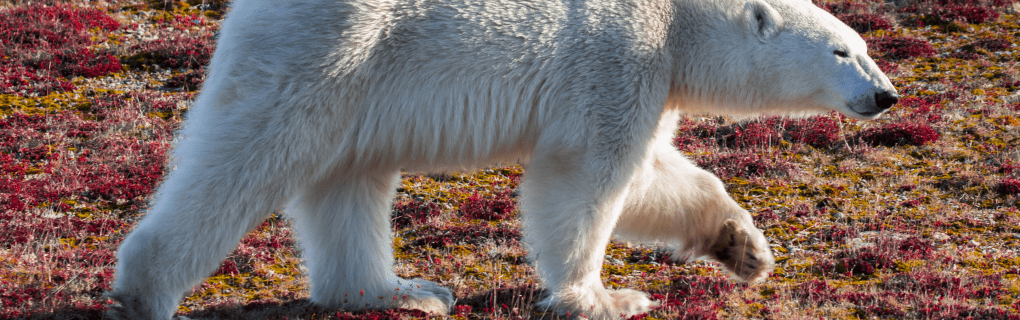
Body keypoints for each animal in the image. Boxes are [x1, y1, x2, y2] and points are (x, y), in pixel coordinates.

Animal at [107, 0, 897, 317]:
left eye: (862, 44)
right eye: (841, 51)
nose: (886, 94)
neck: (675, 18)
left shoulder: (651, 74)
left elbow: (653, 176)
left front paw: (745, 248)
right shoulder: (619, 57)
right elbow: (586, 176)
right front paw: (604, 297)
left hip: (357, 85)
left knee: (349, 182)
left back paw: (400, 291)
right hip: (332, 51)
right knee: (249, 155)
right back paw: (146, 291)